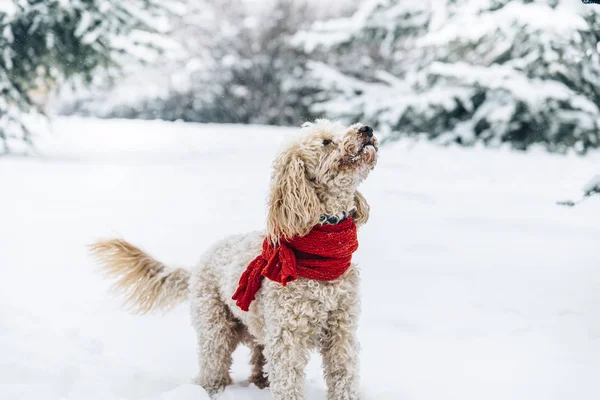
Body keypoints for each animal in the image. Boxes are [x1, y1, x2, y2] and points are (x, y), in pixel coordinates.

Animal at [89, 119, 380, 400]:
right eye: (326, 141)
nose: (366, 129)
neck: (323, 254)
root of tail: (197, 266)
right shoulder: (286, 337)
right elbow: (288, 383)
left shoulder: (341, 332)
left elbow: (343, 377)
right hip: (215, 327)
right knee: (214, 364)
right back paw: (210, 389)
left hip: (257, 329)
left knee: (258, 361)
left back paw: (259, 383)